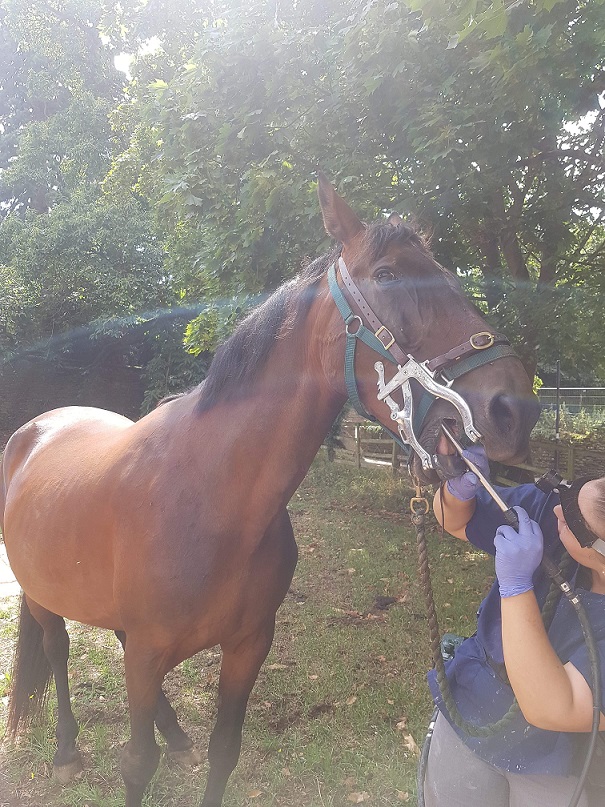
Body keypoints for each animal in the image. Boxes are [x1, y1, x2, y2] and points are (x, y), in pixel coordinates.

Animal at [0, 174, 536, 804]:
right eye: (388, 275)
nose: (514, 407)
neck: (212, 497)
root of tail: (37, 428)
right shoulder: (152, 651)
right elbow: (137, 763)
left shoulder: (248, 646)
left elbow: (222, 753)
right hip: (43, 597)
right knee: (57, 651)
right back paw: (65, 750)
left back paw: (173, 733)